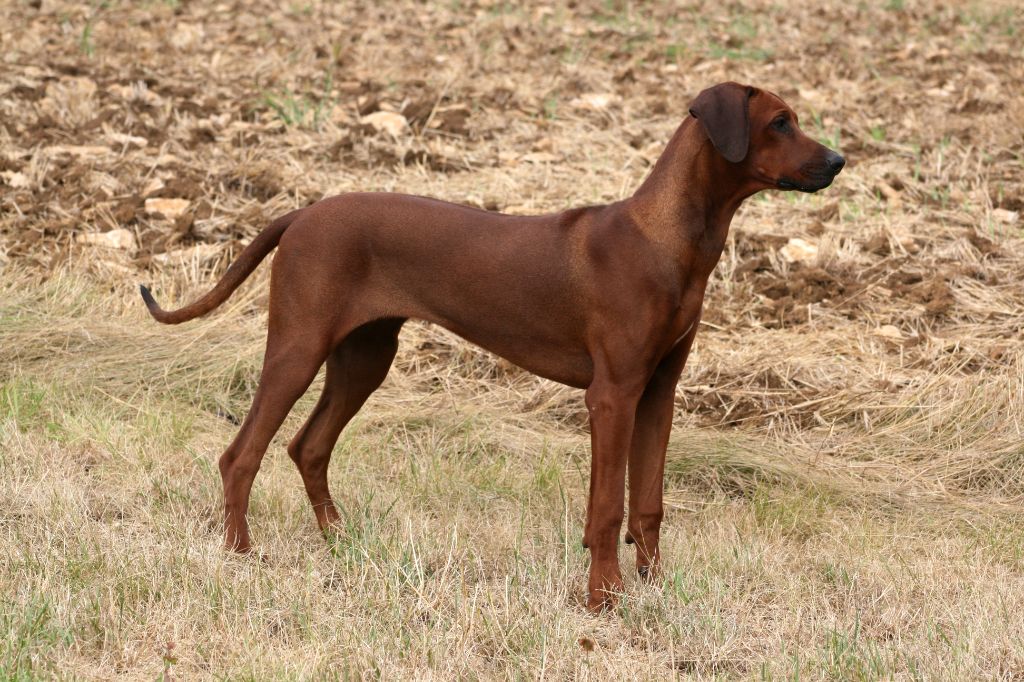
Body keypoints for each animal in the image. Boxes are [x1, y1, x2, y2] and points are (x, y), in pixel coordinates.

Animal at [144, 82, 847, 606]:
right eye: (780, 122)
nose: (839, 161)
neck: (667, 237)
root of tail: (301, 213)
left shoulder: (658, 394)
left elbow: (647, 504)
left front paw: (654, 589)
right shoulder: (612, 396)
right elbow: (607, 509)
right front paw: (605, 599)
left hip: (365, 357)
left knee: (307, 446)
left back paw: (341, 542)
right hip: (298, 346)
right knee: (241, 454)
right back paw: (240, 553)